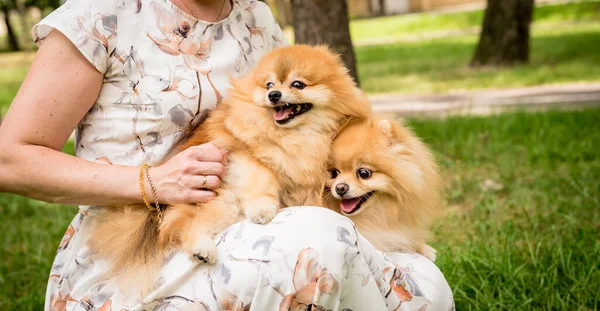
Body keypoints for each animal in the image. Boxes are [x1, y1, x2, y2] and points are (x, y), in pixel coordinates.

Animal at [88, 44, 370, 290]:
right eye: (269, 85)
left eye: (297, 84)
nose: (273, 95)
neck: (293, 134)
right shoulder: (245, 157)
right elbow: (262, 179)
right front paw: (261, 209)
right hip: (222, 202)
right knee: (184, 227)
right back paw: (202, 249)